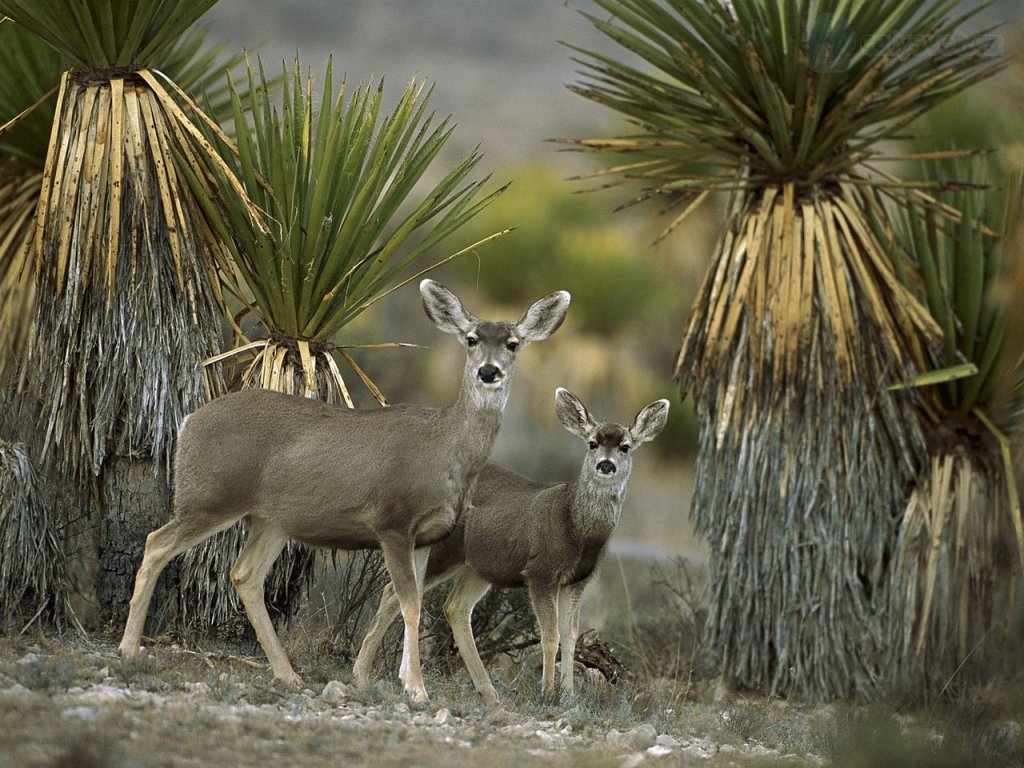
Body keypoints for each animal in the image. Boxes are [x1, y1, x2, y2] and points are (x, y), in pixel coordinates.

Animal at [118, 280, 571, 703]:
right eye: (472, 338)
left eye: (512, 343)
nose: (489, 372)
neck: (444, 451)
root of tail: (188, 421)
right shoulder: (392, 521)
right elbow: (409, 602)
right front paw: (417, 688)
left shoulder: (428, 535)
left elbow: (403, 601)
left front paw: (396, 679)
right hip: (210, 496)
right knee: (157, 543)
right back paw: (128, 649)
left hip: (271, 520)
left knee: (244, 574)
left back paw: (288, 674)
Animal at [353, 388, 669, 703]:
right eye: (592, 443)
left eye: (625, 447)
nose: (606, 465)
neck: (577, 527)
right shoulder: (540, 572)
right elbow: (550, 636)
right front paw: (548, 693)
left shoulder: (578, 581)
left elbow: (571, 636)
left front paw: (569, 694)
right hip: (442, 550)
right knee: (395, 591)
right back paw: (364, 674)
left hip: (479, 566)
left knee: (454, 606)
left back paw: (487, 691)